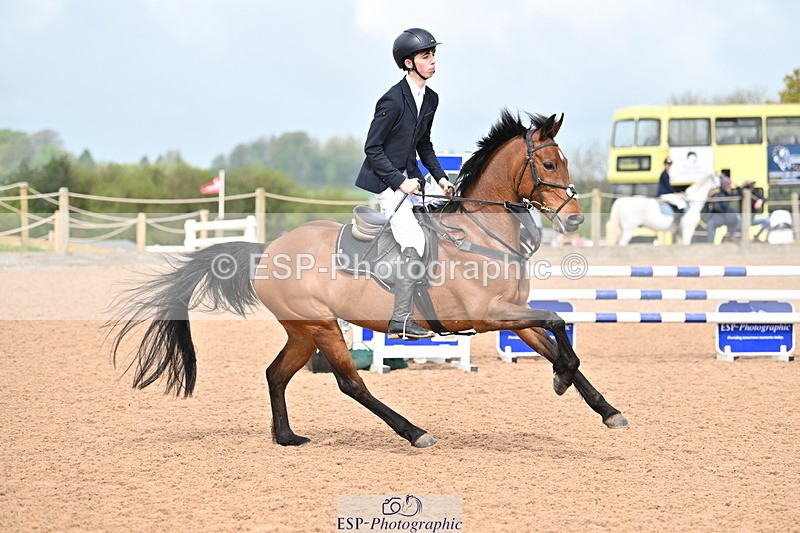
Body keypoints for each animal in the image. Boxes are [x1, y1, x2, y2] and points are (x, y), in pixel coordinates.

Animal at [109, 110, 628, 448]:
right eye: (548, 164)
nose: (575, 219)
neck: (483, 233)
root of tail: (267, 251)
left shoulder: (514, 317)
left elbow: (556, 339)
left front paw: (605, 409)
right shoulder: (490, 315)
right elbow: (558, 326)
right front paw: (562, 379)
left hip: (304, 330)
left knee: (276, 373)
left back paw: (287, 437)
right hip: (322, 327)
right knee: (351, 384)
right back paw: (415, 432)